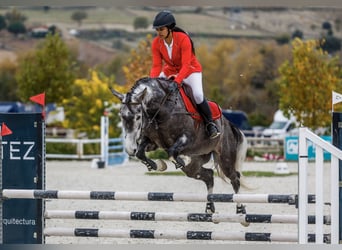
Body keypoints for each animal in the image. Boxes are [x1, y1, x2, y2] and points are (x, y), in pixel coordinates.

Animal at [111, 77, 248, 224]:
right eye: (121, 116)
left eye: (137, 116)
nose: (129, 148)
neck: (162, 110)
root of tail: (229, 124)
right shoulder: (152, 142)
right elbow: (141, 153)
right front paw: (158, 165)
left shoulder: (186, 138)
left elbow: (172, 152)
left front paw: (182, 159)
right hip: (194, 167)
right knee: (209, 175)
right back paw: (210, 209)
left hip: (225, 158)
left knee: (235, 178)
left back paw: (241, 212)